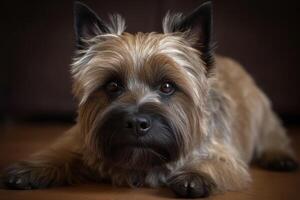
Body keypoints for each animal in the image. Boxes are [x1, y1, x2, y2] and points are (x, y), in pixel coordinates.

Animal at [1, 1, 298, 198]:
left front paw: (196, 175)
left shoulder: (226, 155)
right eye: (112, 85)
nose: (136, 123)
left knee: (274, 136)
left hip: (263, 114)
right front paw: (30, 170)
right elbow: (59, 151)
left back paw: (280, 157)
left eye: (167, 87)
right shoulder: (80, 139)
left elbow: (217, 164)